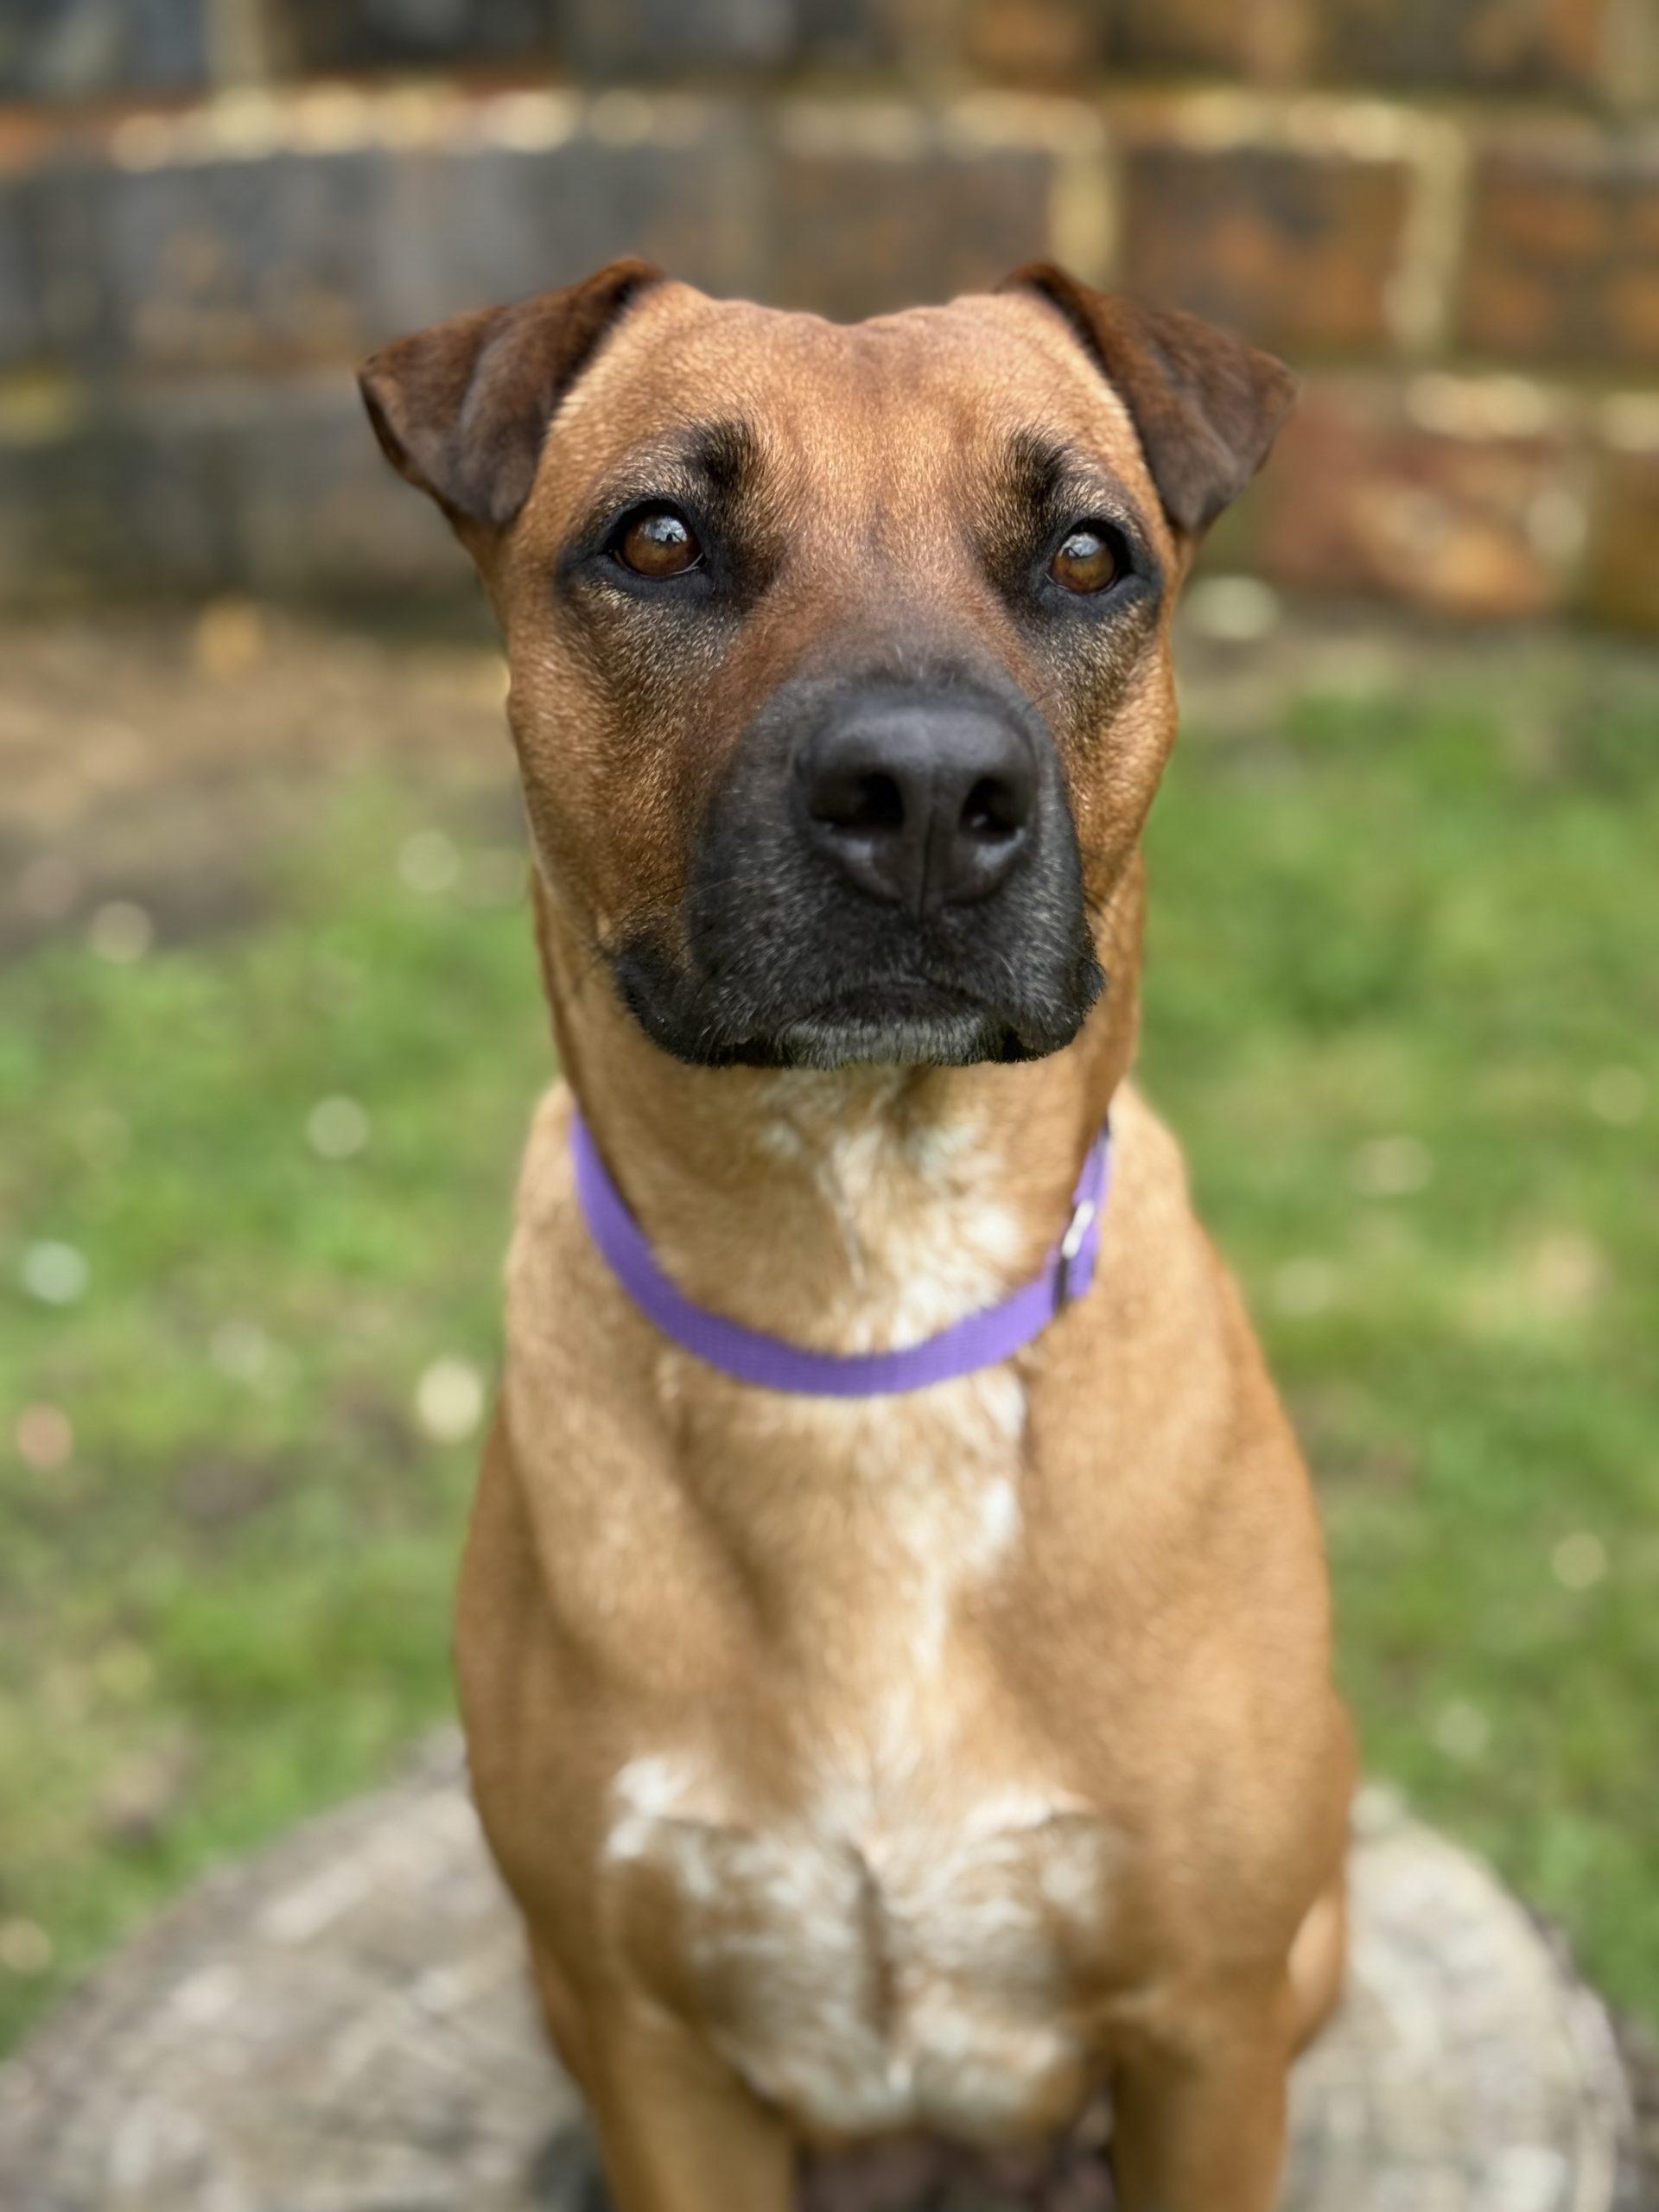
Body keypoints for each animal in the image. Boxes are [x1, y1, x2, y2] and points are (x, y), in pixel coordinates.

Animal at [360, 259, 1355, 2212]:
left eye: (1087, 556)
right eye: (659, 538)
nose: (925, 796)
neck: (861, 1308)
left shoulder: (1208, 2025)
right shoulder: (651, 2042)